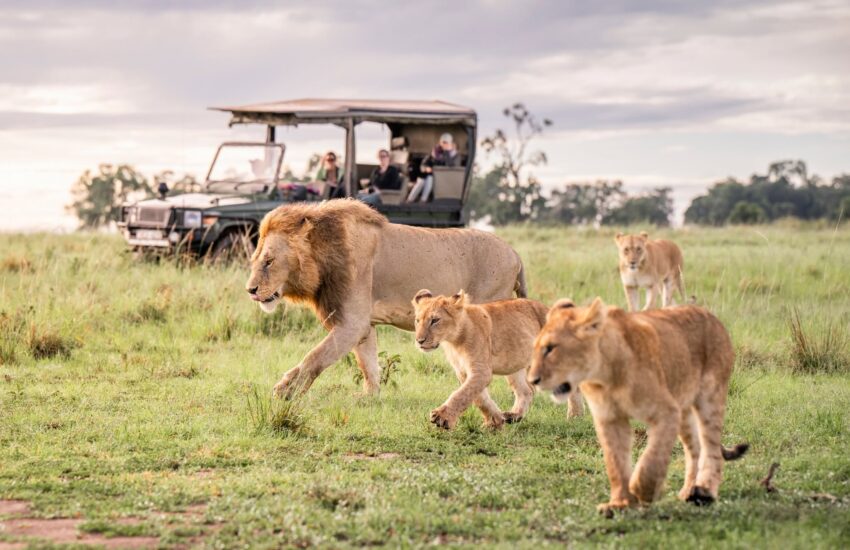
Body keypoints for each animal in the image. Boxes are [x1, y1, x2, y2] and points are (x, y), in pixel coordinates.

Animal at [245, 199, 527, 398]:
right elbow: (368, 364)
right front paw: (370, 398)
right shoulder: (363, 325)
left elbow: (315, 357)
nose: (250, 290)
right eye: (254, 259)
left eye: (269, 261)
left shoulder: (352, 323)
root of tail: (515, 253)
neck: (322, 254)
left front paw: (285, 391)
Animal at [411, 290, 583, 430]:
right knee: (526, 391)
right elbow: (478, 397)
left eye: (435, 320)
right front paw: (494, 421)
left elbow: (462, 394)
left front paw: (442, 417)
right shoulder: (463, 372)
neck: (454, 341)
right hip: (514, 364)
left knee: (573, 385)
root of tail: (549, 309)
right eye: (417, 320)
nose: (419, 340)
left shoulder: (481, 370)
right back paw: (514, 416)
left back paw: (576, 416)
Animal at [528, 298, 748, 515]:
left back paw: (705, 493)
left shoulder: (667, 412)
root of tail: (712, 316)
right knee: (695, 447)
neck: (604, 375)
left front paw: (643, 492)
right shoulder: (610, 418)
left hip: (709, 397)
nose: (532, 380)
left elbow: (652, 457)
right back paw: (689, 491)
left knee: (712, 448)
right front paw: (619, 503)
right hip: (684, 408)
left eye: (550, 348)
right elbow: (615, 462)